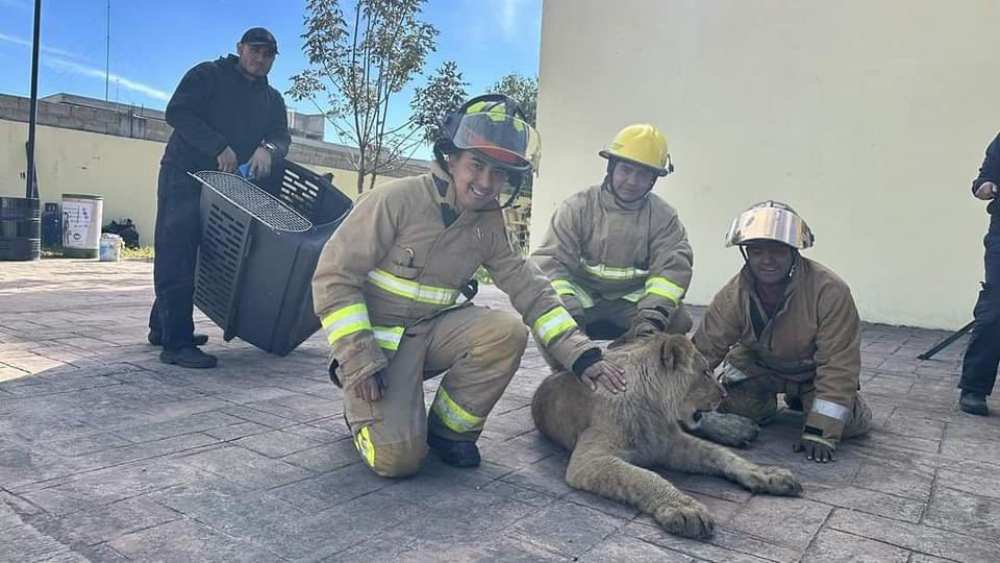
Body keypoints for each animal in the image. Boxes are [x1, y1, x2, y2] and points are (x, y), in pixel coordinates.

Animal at [532, 332, 804, 540]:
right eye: (705, 372)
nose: (724, 394)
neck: (655, 408)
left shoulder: (671, 443)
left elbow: (722, 455)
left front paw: (768, 474)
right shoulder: (590, 459)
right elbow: (644, 477)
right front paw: (684, 509)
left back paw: (738, 427)